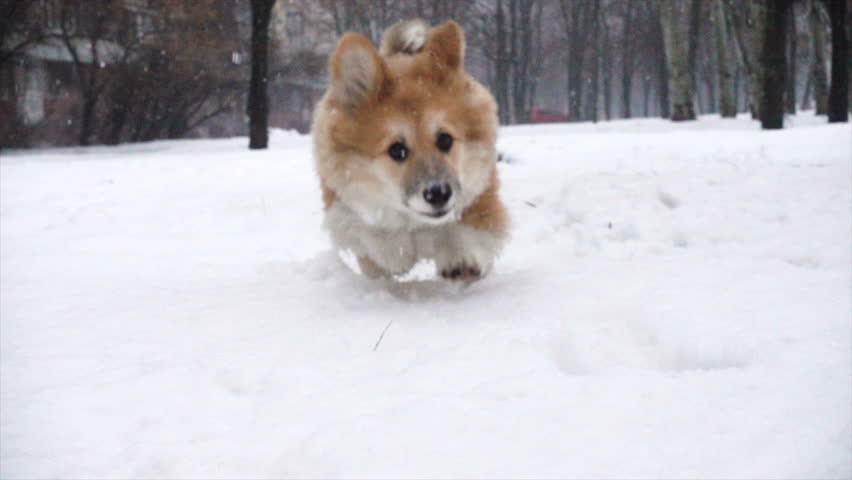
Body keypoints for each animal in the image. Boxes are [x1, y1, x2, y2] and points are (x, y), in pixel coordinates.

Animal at [316, 19, 510, 282]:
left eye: (445, 140)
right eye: (396, 150)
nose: (438, 194)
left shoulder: (480, 191)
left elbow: (468, 226)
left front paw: (460, 256)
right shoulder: (344, 204)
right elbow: (372, 231)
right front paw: (394, 251)